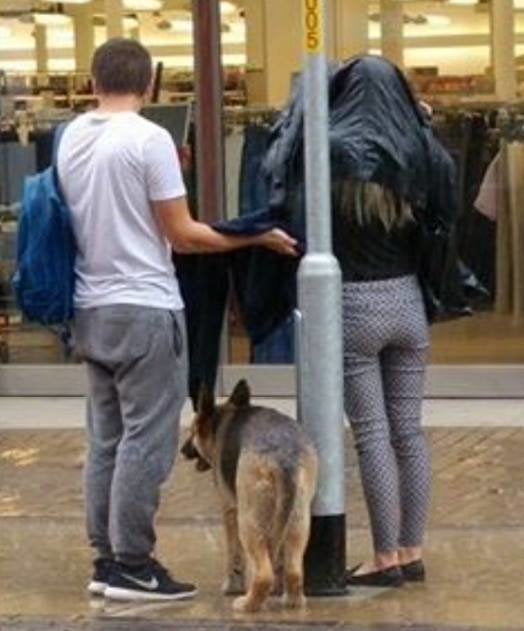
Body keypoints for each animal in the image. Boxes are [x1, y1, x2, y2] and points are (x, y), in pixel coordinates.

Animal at [182, 380, 318, 612]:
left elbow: (234, 556)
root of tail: (284, 456)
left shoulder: (230, 510)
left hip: (249, 521)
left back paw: (248, 603)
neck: (223, 420)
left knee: (264, 574)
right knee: (293, 569)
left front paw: (232, 586)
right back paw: (292, 600)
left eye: (192, 431)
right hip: (297, 520)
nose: (182, 451)